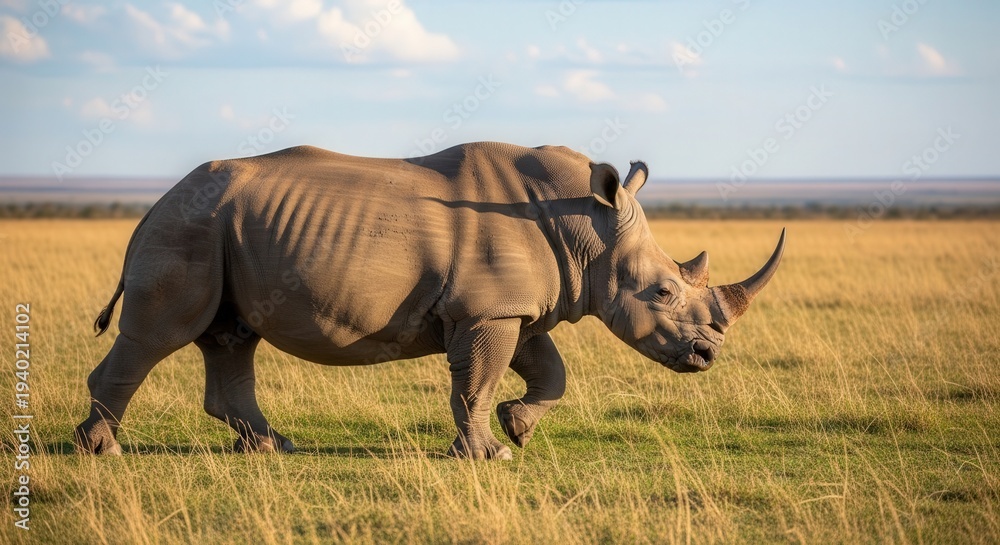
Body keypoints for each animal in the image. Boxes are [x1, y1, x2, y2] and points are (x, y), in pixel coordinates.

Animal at [75, 142, 784, 459]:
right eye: (663, 292)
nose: (706, 356)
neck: (587, 227)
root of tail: (153, 203)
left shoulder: (514, 308)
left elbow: (547, 369)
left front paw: (518, 427)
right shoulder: (486, 309)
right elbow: (476, 381)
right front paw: (489, 455)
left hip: (221, 227)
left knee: (231, 336)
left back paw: (276, 448)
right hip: (189, 226)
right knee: (156, 336)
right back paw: (101, 452)